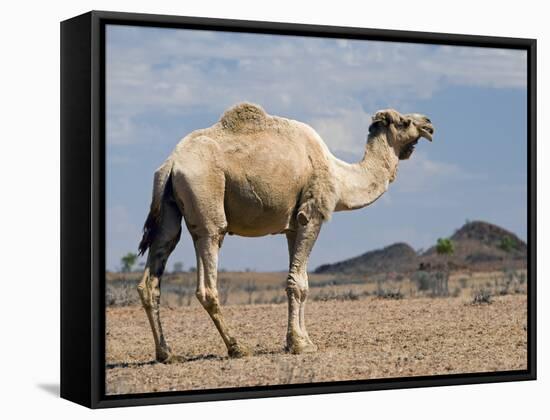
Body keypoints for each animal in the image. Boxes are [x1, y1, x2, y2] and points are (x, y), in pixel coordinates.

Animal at [137, 102, 436, 360]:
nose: (429, 124)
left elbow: (302, 282)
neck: (340, 176)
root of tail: (171, 163)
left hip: (169, 209)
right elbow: (297, 283)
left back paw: (166, 354)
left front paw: (302, 340)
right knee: (208, 276)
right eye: (405, 121)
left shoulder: (293, 226)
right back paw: (237, 347)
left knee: (155, 269)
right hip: (207, 201)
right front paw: (299, 344)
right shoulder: (311, 215)